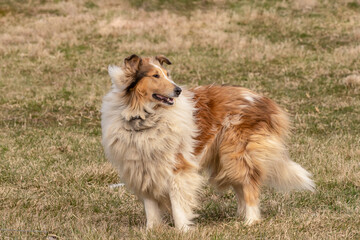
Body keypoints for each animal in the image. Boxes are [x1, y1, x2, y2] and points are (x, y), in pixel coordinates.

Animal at [101, 54, 316, 231]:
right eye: (155, 76)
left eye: (167, 74)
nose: (178, 90)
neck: (144, 118)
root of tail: (265, 101)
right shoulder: (142, 167)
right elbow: (151, 207)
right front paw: (152, 231)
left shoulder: (177, 168)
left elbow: (178, 204)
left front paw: (183, 230)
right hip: (226, 158)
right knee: (241, 186)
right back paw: (240, 218)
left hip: (237, 154)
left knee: (249, 186)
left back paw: (250, 221)